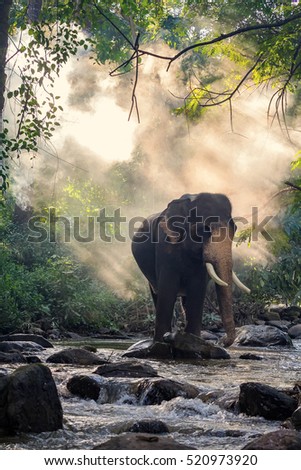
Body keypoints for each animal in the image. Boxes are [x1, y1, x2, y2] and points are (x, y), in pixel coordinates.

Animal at [131, 193, 251, 346]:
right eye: (205, 229)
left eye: (235, 228)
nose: (220, 341)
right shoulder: (165, 247)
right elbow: (168, 289)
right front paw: (161, 344)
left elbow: (197, 289)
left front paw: (193, 342)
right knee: (157, 293)